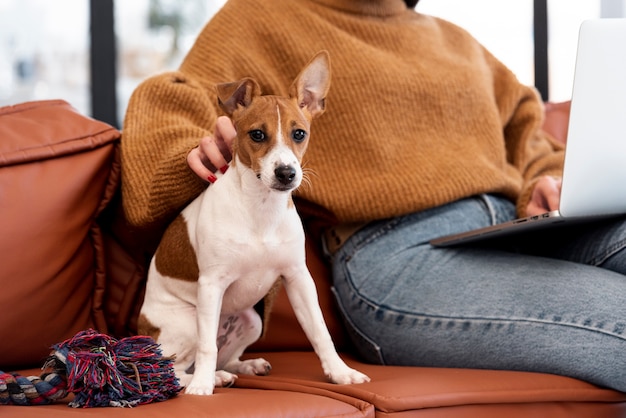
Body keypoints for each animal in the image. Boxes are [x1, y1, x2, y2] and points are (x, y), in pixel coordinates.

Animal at [139, 52, 368, 396]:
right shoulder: (211, 285)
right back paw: (208, 378)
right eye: (257, 135)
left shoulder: (298, 279)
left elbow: (319, 332)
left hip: (252, 321)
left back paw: (243, 367)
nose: (286, 173)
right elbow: (207, 346)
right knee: (174, 370)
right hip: (188, 322)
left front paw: (340, 373)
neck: (261, 210)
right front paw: (202, 387)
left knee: (224, 356)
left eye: (299, 134)